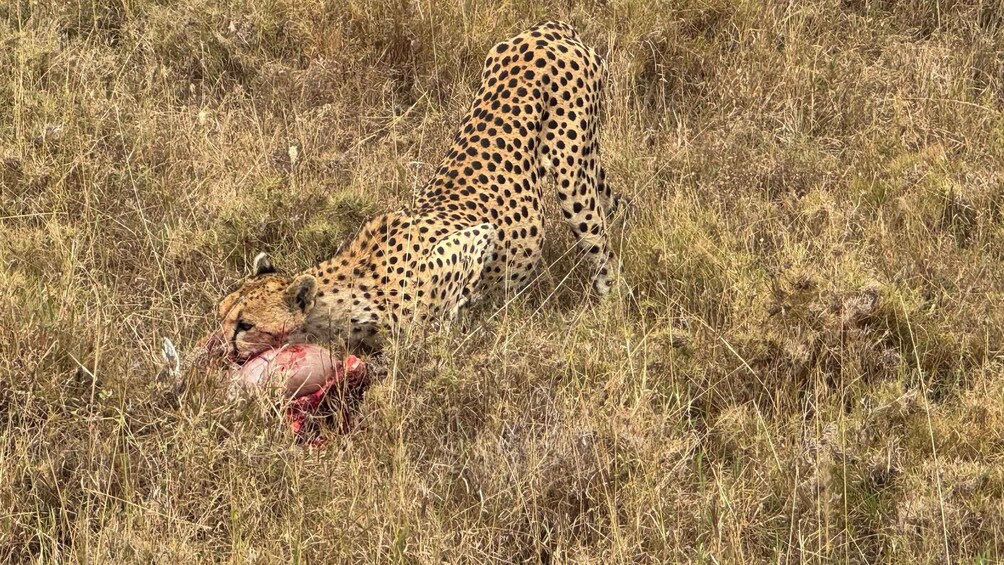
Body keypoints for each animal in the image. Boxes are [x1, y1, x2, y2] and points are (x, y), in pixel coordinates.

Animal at [217, 20, 628, 362]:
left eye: (246, 326)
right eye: (221, 315)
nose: (219, 350)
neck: (346, 300)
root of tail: (545, 28)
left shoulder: (473, 240)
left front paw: (454, 320)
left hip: (572, 175)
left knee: (603, 250)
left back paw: (612, 306)